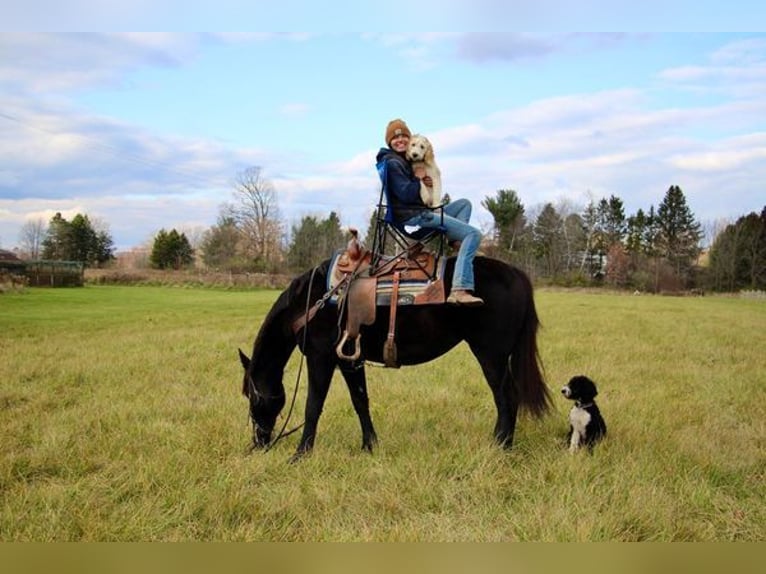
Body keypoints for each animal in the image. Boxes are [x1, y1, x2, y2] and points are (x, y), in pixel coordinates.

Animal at [238, 258, 552, 462]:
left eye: (251, 396)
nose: (259, 442)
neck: (311, 303)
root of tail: (517, 274)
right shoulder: (349, 359)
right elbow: (360, 401)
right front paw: (369, 446)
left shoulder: (321, 358)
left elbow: (312, 406)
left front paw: (300, 454)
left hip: (491, 355)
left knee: (506, 398)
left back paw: (501, 446)